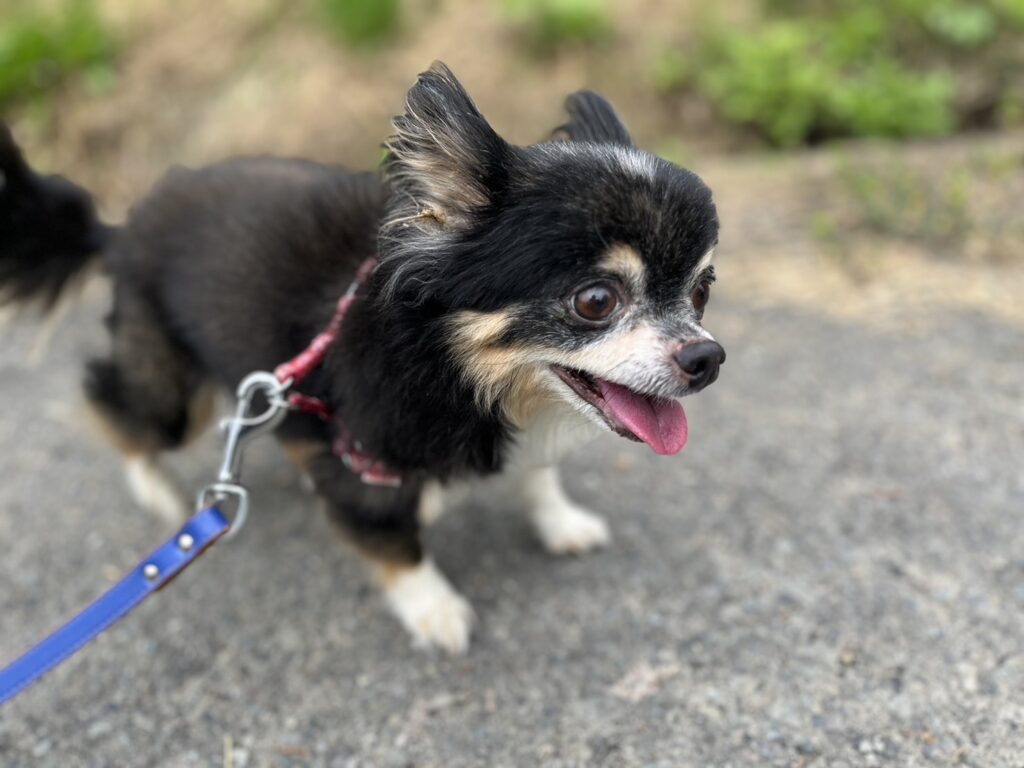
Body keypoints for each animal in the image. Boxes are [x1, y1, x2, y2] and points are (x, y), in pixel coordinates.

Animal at [0, 62, 723, 654]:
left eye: (701, 291)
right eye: (596, 300)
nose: (707, 357)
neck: (453, 367)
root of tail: (121, 230)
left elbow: (537, 474)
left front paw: (560, 521)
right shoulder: (368, 459)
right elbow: (394, 542)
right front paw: (434, 610)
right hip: (171, 390)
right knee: (117, 405)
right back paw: (157, 489)